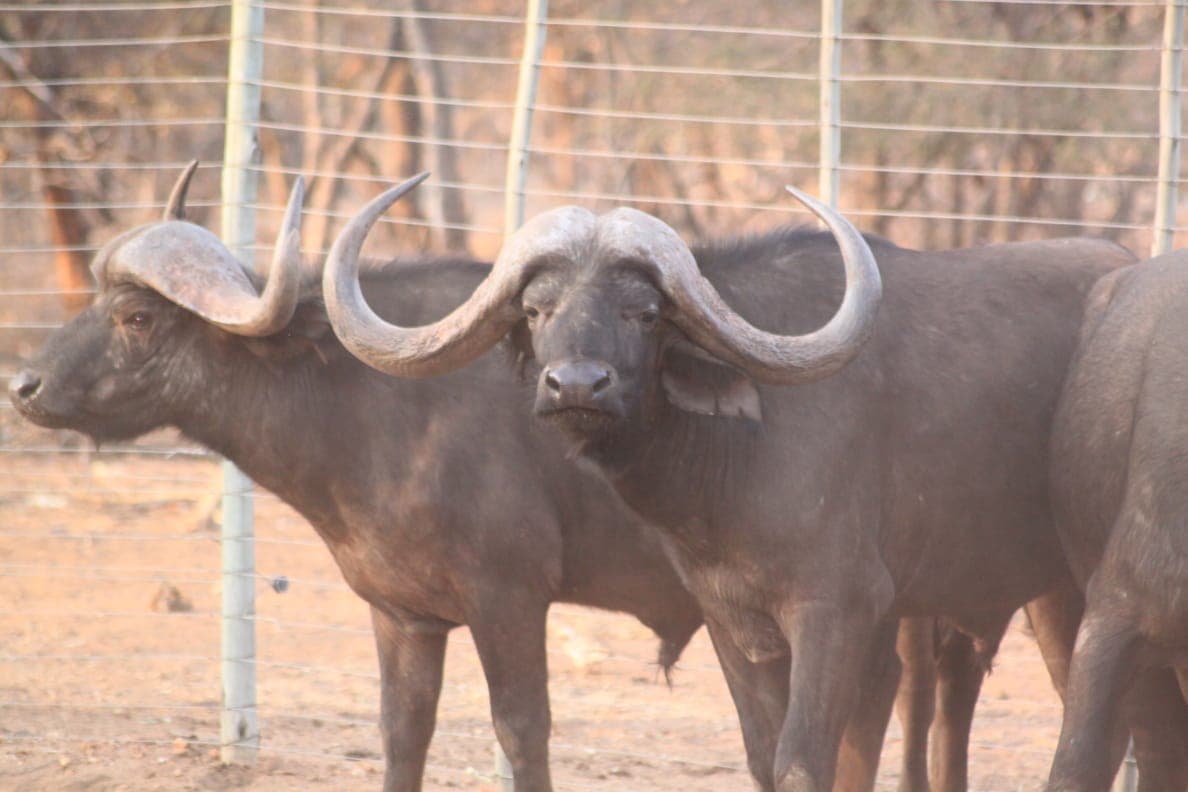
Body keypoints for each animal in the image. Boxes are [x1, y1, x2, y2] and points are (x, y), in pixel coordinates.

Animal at [323, 177, 1137, 792]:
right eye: (535, 308)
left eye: (644, 312)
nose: (577, 385)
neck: (737, 454)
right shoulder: (732, 621)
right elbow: (764, 759)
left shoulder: (838, 610)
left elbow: (806, 762)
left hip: (1079, 599)